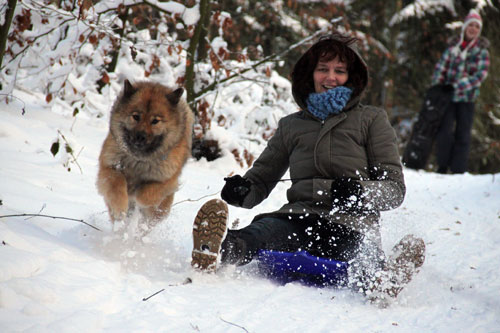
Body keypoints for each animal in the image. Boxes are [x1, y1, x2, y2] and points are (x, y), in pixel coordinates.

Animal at [96, 79, 194, 227]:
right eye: (136, 117)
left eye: (155, 121)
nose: (140, 137)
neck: (139, 160)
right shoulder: (109, 167)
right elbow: (117, 186)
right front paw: (120, 207)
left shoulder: (166, 181)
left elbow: (146, 192)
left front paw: (139, 197)